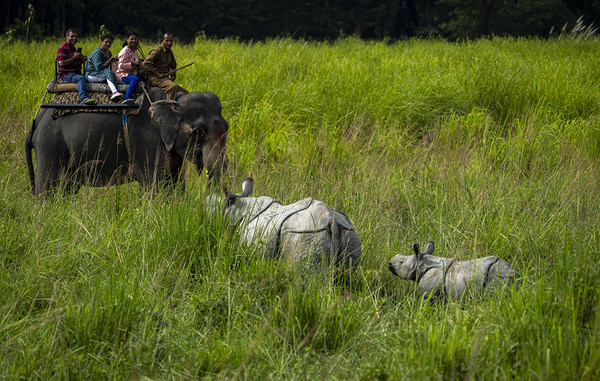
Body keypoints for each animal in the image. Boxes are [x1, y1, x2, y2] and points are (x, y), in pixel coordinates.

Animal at [24, 88, 227, 196]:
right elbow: (156, 186)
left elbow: (174, 181)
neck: (173, 100)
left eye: (227, 126)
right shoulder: (146, 139)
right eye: (198, 132)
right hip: (50, 145)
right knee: (48, 191)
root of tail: (37, 118)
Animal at [390, 240, 520, 300]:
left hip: (498, 277)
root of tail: (514, 273)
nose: (390, 263)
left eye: (401, 262)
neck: (421, 263)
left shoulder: (428, 293)